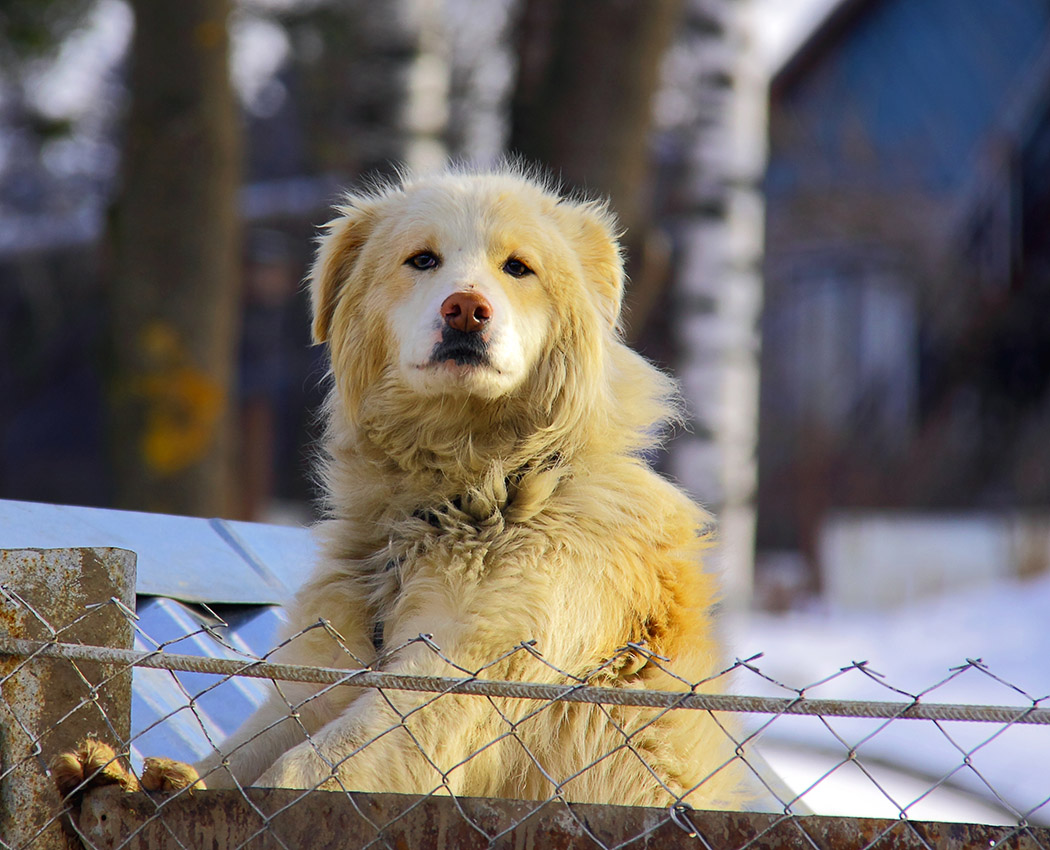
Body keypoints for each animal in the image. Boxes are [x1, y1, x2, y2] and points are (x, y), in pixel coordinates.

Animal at [55, 165, 747, 810]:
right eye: (422, 259)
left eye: (518, 268)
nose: (466, 308)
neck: (475, 492)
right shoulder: (334, 658)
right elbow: (250, 749)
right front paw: (143, 778)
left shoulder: (465, 667)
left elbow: (310, 765)